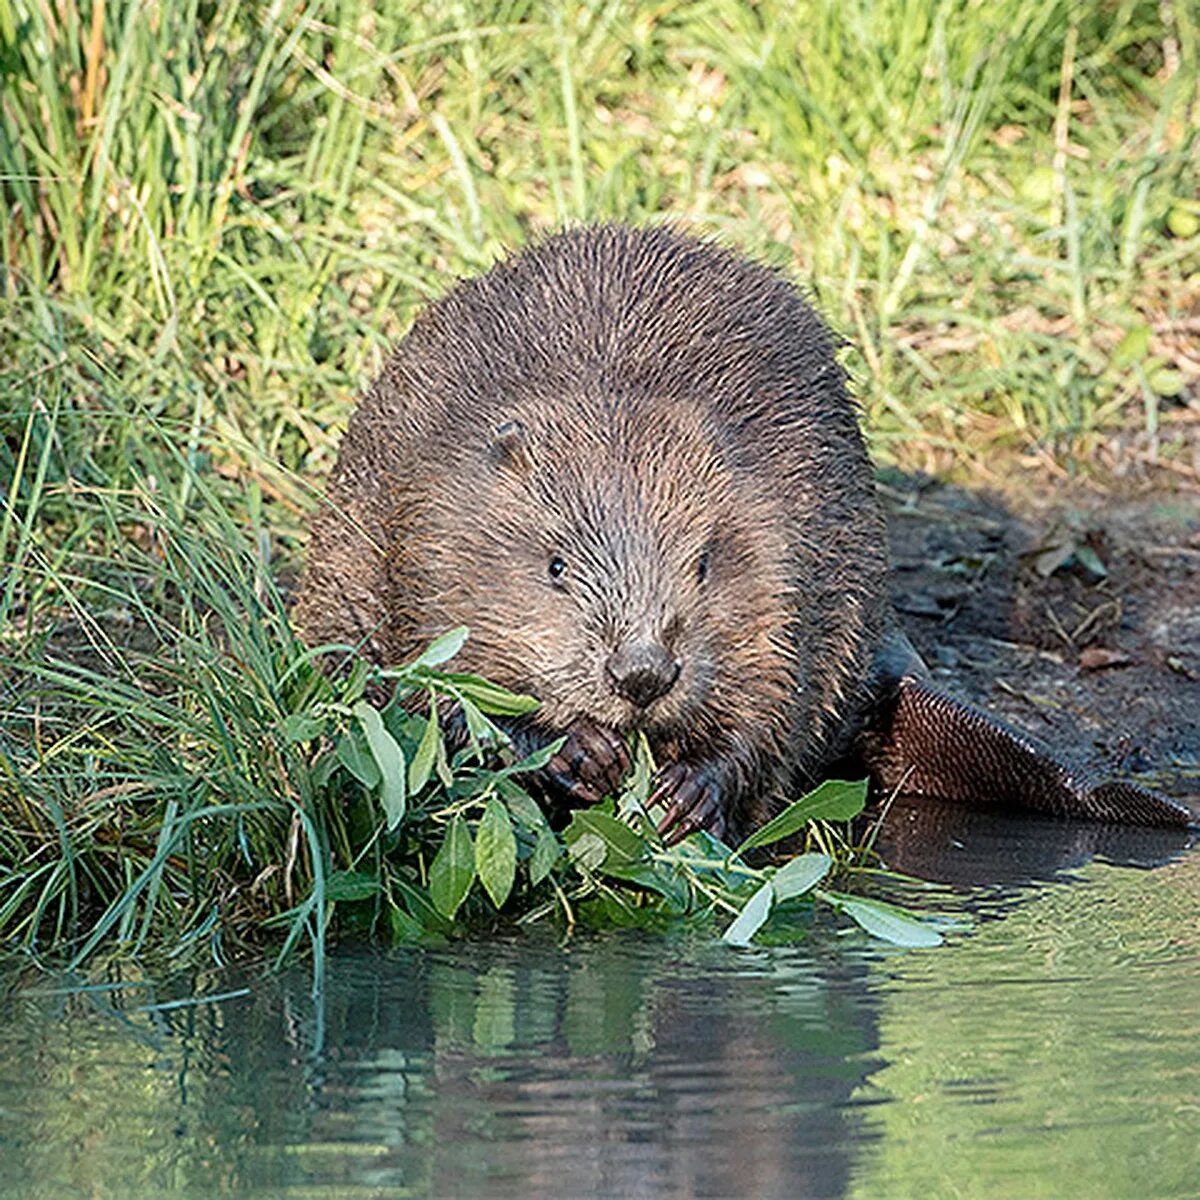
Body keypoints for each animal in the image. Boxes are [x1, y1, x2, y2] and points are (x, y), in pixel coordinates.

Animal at [295, 226, 1195, 844]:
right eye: (553, 566)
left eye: (700, 564)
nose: (642, 673)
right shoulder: (423, 532)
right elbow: (432, 686)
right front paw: (580, 754)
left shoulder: (790, 546)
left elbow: (777, 695)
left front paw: (686, 794)